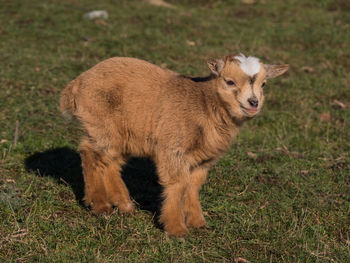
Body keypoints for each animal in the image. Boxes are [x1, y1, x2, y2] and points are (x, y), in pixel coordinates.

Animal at [60, 53, 288, 237]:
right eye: (230, 81)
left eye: (264, 84)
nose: (253, 103)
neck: (204, 104)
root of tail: (75, 85)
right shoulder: (173, 148)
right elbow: (177, 184)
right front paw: (176, 228)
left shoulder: (202, 159)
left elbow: (193, 185)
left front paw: (197, 222)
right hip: (100, 123)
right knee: (90, 153)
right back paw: (99, 205)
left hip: (121, 134)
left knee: (111, 162)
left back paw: (124, 205)